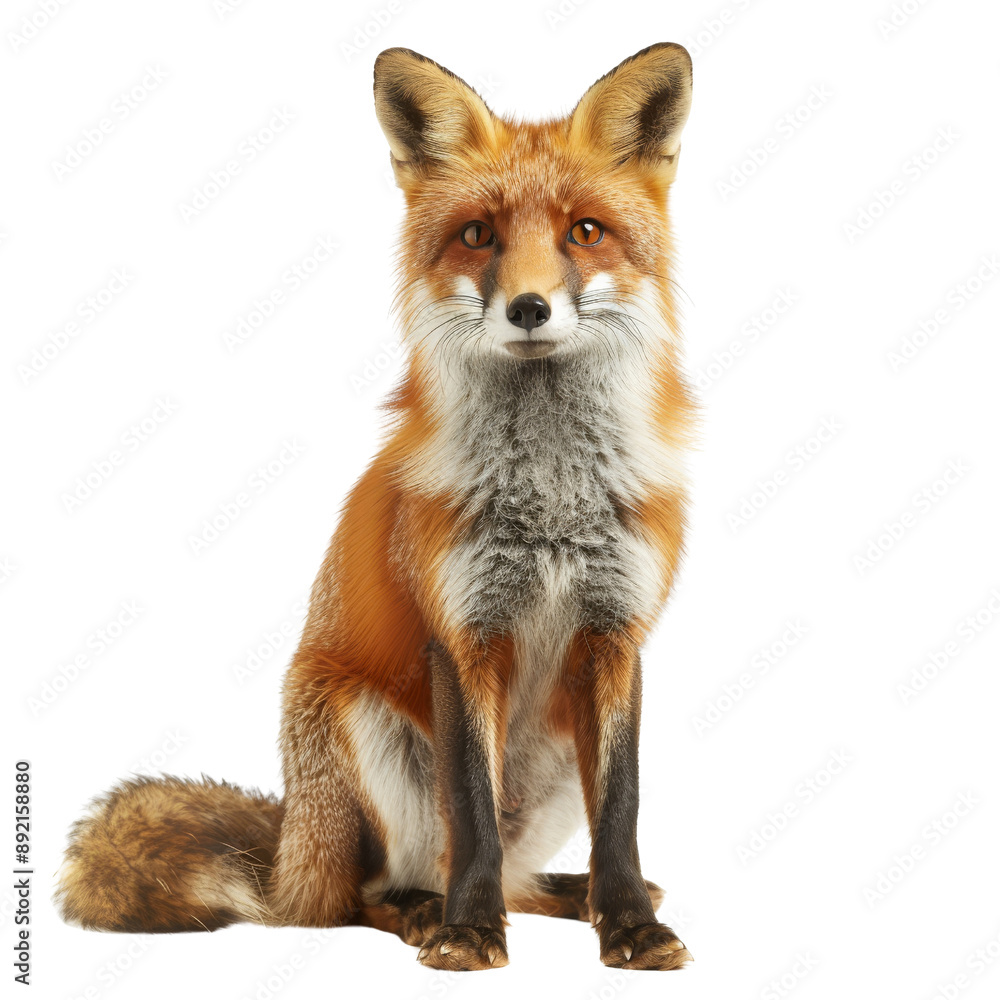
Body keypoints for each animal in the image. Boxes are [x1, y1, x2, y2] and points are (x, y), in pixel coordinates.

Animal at [57, 43, 696, 971]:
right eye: (478, 235)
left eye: (584, 231)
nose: (529, 308)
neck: (548, 501)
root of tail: (290, 850)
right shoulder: (461, 633)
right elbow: (471, 811)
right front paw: (468, 933)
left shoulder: (618, 633)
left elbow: (623, 812)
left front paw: (630, 924)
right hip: (359, 730)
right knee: (353, 900)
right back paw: (428, 911)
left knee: (515, 878)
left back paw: (570, 895)